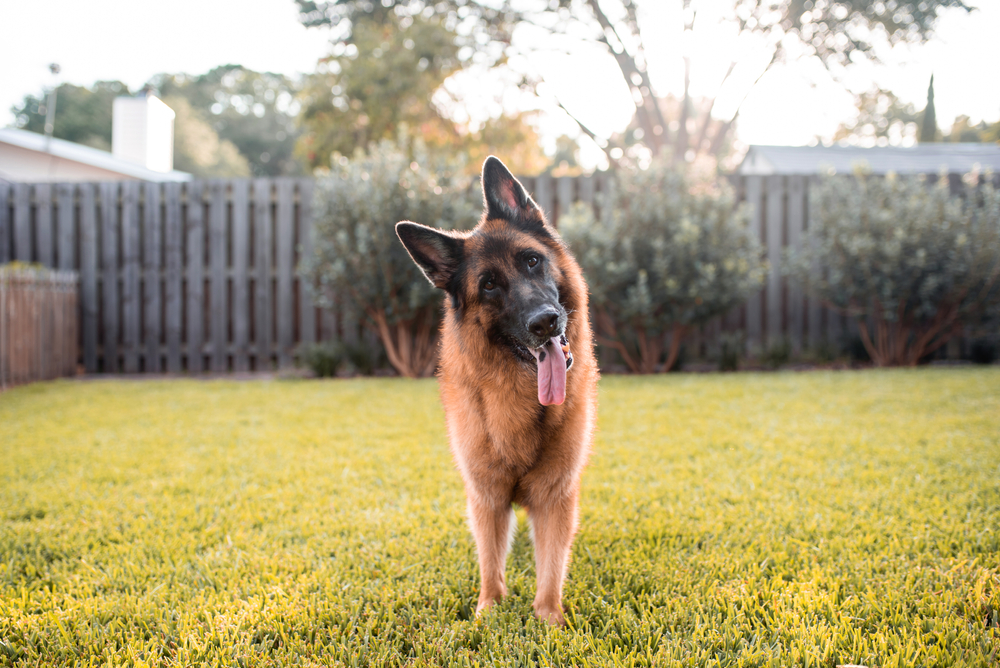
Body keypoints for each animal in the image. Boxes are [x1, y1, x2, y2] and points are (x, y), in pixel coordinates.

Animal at [392, 157, 596, 628]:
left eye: (532, 261)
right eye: (488, 285)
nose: (545, 322)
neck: (523, 400)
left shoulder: (555, 498)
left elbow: (551, 567)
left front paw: (549, 620)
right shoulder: (487, 499)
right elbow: (490, 563)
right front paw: (488, 612)